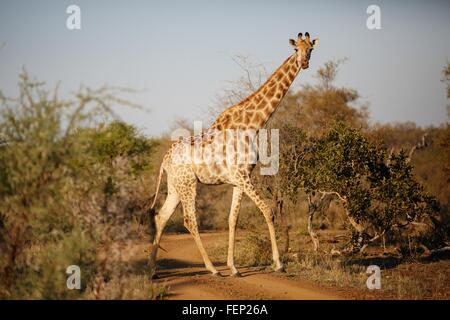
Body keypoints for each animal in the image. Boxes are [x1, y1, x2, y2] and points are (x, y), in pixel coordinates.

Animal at [148, 33, 316, 278]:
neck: (252, 125)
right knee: (190, 220)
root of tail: (165, 159)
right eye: (296, 49)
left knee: (161, 216)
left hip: (175, 185)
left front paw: (234, 267)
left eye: (311, 49)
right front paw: (279, 264)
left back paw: (152, 270)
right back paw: (211, 269)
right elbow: (268, 211)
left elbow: (232, 220)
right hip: (188, 183)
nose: (304, 63)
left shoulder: (239, 179)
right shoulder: (242, 176)